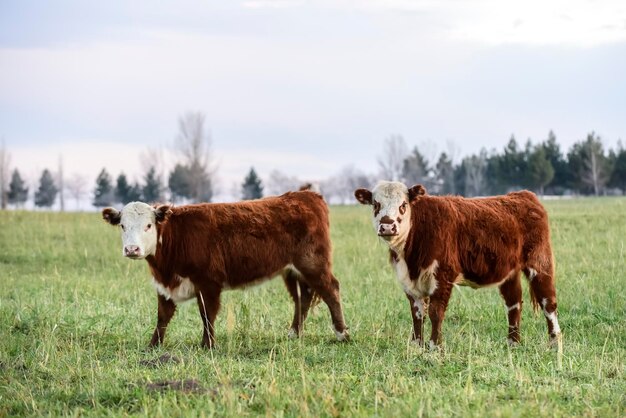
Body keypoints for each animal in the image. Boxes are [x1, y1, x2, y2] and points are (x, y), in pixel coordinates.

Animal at [100, 191, 348, 348]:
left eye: (148, 225)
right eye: (123, 226)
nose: (132, 249)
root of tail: (306, 195)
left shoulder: (208, 283)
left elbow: (207, 314)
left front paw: (208, 344)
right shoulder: (164, 285)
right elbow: (162, 316)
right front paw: (154, 345)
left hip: (314, 264)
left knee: (331, 290)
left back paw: (342, 333)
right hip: (292, 270)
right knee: (302, 297)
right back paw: (294, 333)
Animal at [354, 181, 564, 348]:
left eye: (403, 204)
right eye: (376, 204)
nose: (387, 226)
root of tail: (524, 195)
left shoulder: (443, 275)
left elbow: (435, 312)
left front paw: (434, 346)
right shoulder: (408, 281)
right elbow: (417, 314)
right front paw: (416, 345)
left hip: (540, 262)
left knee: (548, 302)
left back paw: (554, 342)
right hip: (509, 272)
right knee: (513, 303)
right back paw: (513, 343)